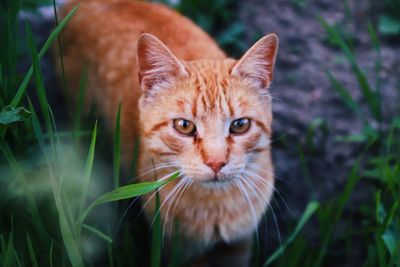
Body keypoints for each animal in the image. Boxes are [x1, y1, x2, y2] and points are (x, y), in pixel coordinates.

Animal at [58, 0, 278, 266]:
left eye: (240, 125)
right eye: (184, 126)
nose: (216, 162)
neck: (214, 206)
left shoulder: (238, 246)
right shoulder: (175, 249)